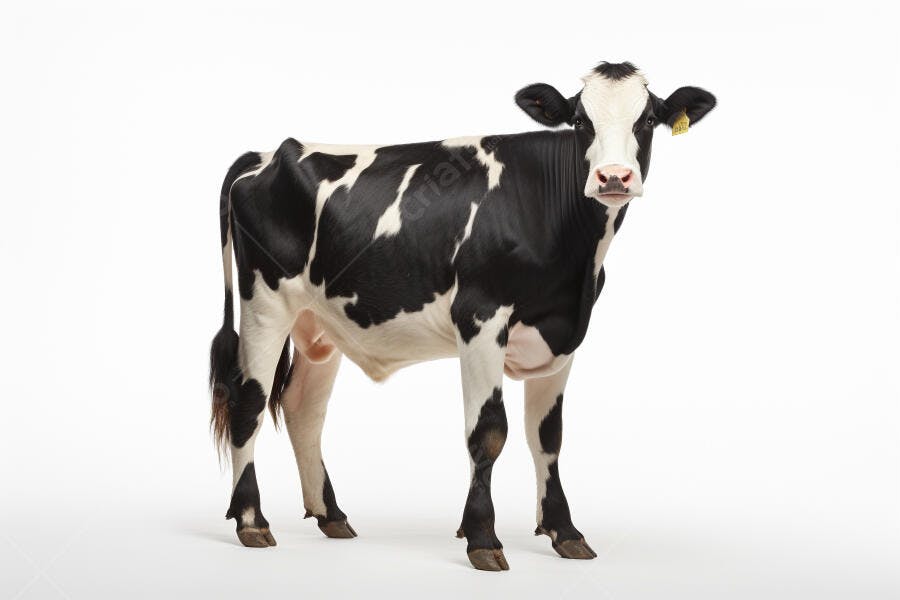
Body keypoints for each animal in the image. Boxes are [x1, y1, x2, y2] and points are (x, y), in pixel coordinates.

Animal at [209, 61, 716, 571]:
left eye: (647, 119)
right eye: (579, 120)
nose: (614, 177)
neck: (576, 269)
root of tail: (266, 155)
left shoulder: (562, 333)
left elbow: (547, 436)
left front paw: (564, 531)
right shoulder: (480, 316)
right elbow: (488, 432)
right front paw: (482, 537)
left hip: (321, 323)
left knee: (304, 409)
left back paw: (331, 514)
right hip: (263, 304)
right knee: (249, 403)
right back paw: (252, 521)